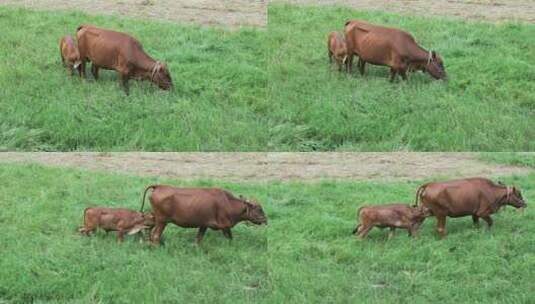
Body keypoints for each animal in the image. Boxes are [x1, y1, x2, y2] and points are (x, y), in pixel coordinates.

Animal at [141, 185, 270, 245]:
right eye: (259, 209)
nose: (265, 220)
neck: (228, 203)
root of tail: (160, 186)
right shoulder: (225, 226)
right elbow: (230, 238)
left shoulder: (203, 224)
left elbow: (199, 239)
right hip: (162, 221)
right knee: (155, 235)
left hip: (156, 219)